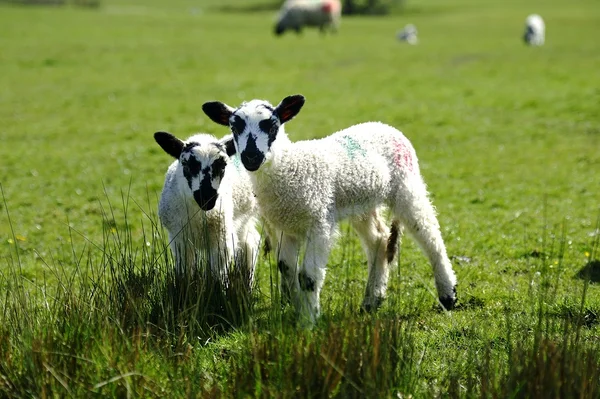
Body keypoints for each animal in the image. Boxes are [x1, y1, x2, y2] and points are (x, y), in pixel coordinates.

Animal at [152, 131, 260, 288]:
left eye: (223, 165)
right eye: (186, 164)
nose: (207, 198)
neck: (200, 215)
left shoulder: (221, 238)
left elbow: (216, 274)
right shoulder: (179, 238)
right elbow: (185, 271)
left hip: (244, 217)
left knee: (249, 244)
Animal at [202, 94, 460, 324]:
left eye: (272, 124)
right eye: (234, 126)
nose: (251, 157)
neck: (289, 167)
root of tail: (385, 126)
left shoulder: (319, 222)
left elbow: (307, 277)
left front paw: (309, 321)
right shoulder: (285, 227)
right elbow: (287, 269)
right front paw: (298, 309)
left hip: (406, 185)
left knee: (429, 233)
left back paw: (448, 294)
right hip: (362, 203)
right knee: (379, 239)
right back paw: (372, 300)